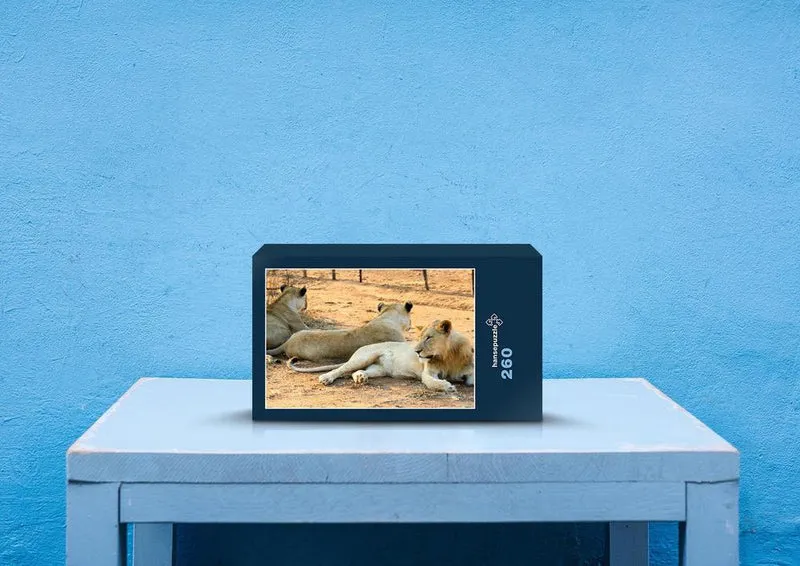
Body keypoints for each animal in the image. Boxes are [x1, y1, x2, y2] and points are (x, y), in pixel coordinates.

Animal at [287, 319, 474, 393]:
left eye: (429, 338)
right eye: (420, 337)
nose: (416, 351)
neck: (447, 356)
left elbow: (470, 379)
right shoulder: (427, 372)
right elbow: (432, 381)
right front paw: (448, 387)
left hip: (379, 369)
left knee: (357, 372)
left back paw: (361, 378)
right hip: (364, 356)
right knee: (341, 369)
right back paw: (326, 378)